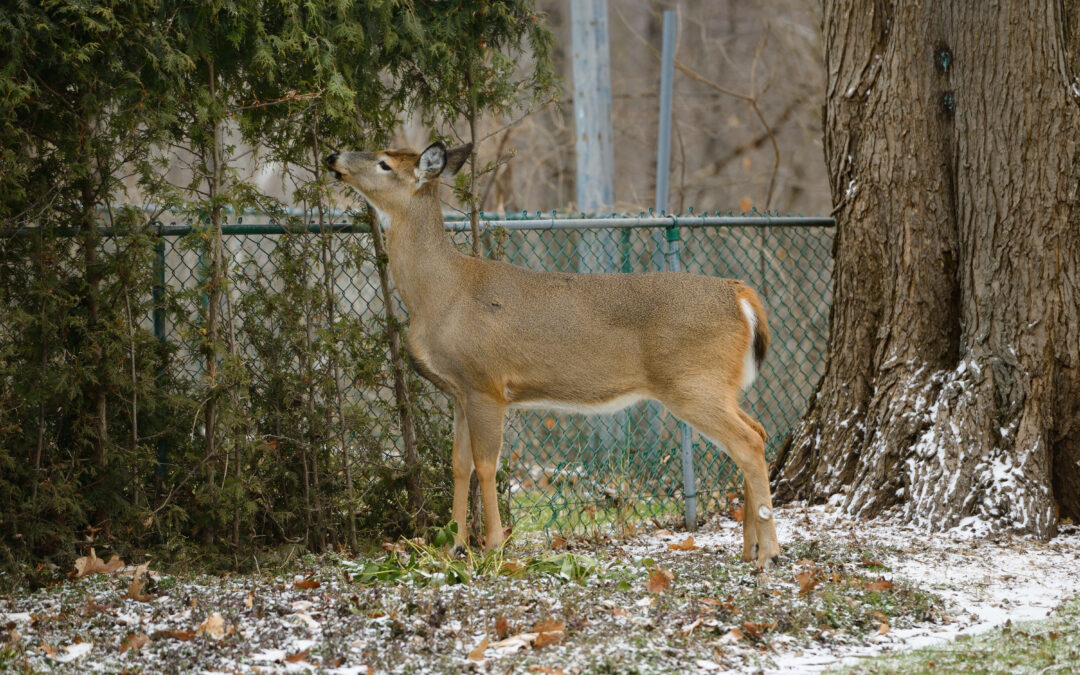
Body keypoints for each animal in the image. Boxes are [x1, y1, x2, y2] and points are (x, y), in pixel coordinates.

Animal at [326, 140, 781, 569]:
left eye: (385, 163)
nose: (333, 157)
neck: (441, 294)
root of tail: (742, 295)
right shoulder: (458, 391)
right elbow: (459, 464)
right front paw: (454, 546)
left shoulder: (487, 384)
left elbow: (487, 466)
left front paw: (493, 546)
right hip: (716, 385)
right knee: (757, 430)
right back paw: (750, 548)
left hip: (691, 382)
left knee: (747, 443)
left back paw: (770, 553)